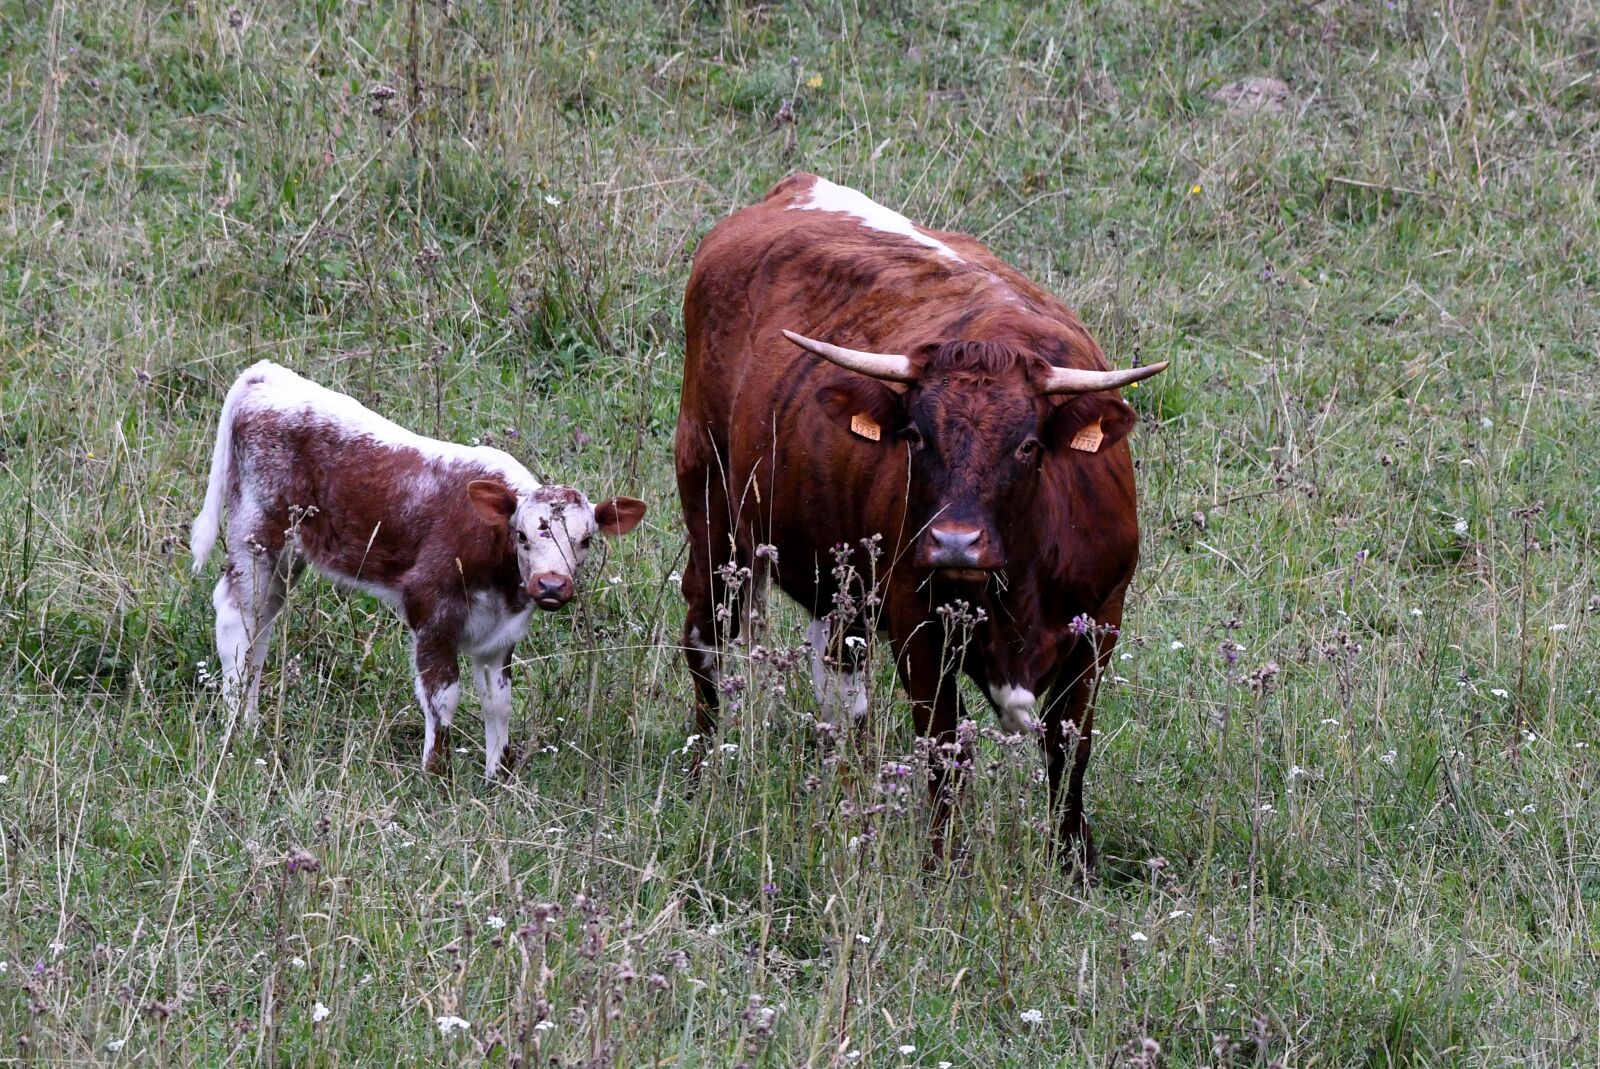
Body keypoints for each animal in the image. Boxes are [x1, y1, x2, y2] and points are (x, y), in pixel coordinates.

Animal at [191, 361, 647, 778]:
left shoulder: (500, 634)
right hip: (257, 531)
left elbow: (499, 704)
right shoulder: (431, 609)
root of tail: (267, 374)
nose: (551, 585)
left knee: (262, 626)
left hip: (288, 555)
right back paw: (235, 730)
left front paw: (498, 778)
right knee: (237, 620)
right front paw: (434, 774)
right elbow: (443, 698)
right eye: (521, 535)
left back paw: (251, 725)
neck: (501, 578)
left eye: (585, 540)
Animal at [675, 174, 1168, 871]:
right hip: (715, 515)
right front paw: (942, 867)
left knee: (839, 679)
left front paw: (1074, 862)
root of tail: (796, 186)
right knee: (707, 637)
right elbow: (945, 751)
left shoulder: (1099, 627)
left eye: (1027, 446)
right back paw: (707, 769)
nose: (955, 543)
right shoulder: (918, 624)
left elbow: (1069, 750)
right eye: (915, 437)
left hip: (835, 575)